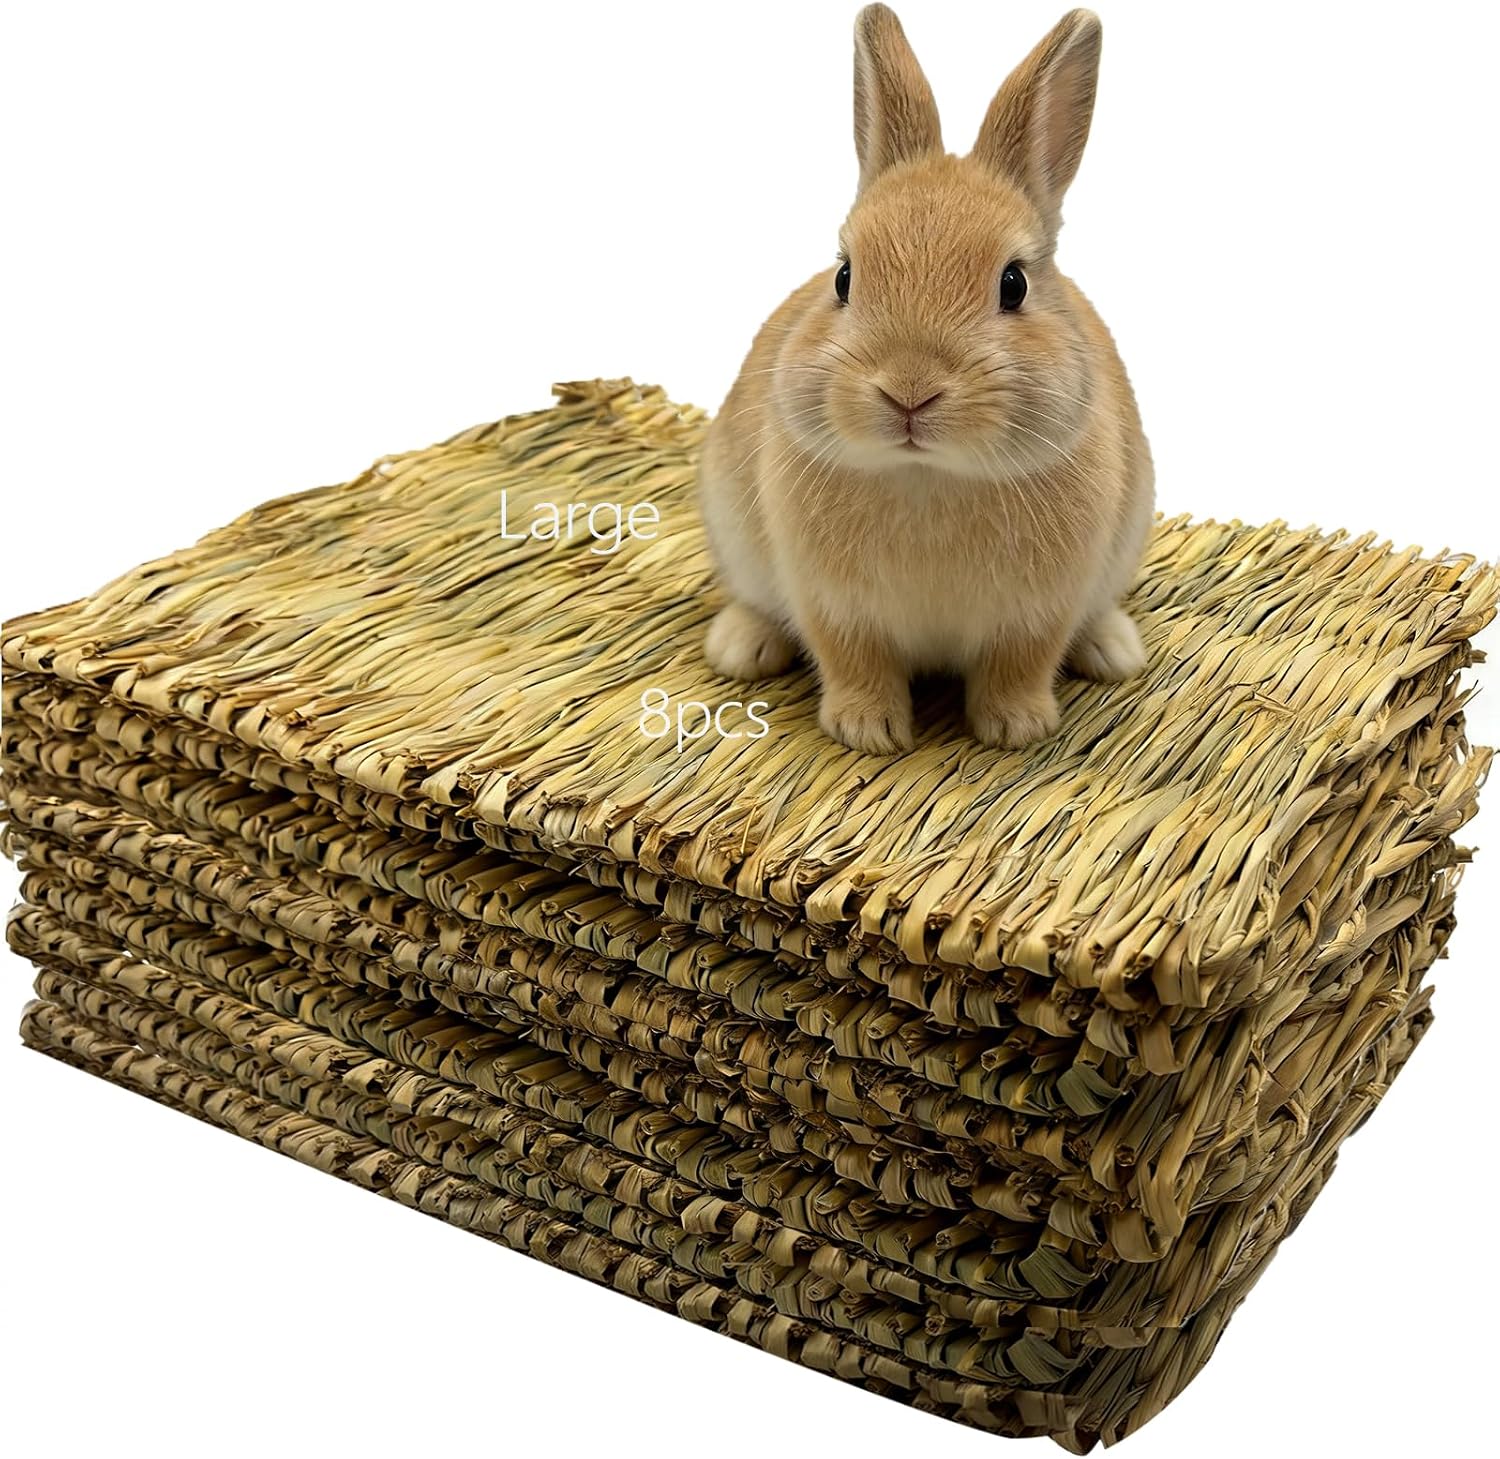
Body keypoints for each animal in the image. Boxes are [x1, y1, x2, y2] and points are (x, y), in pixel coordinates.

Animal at [698, 5, 1154, 754]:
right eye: (844, 277)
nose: (908, 389)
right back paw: (740, 647)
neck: (927, 473)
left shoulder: (1038, 611)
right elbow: (853, 660)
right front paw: (868, 731)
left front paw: (1016, 728)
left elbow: (1020, 663)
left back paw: (1114, 650)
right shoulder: (834, 606)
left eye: (1013, 284)